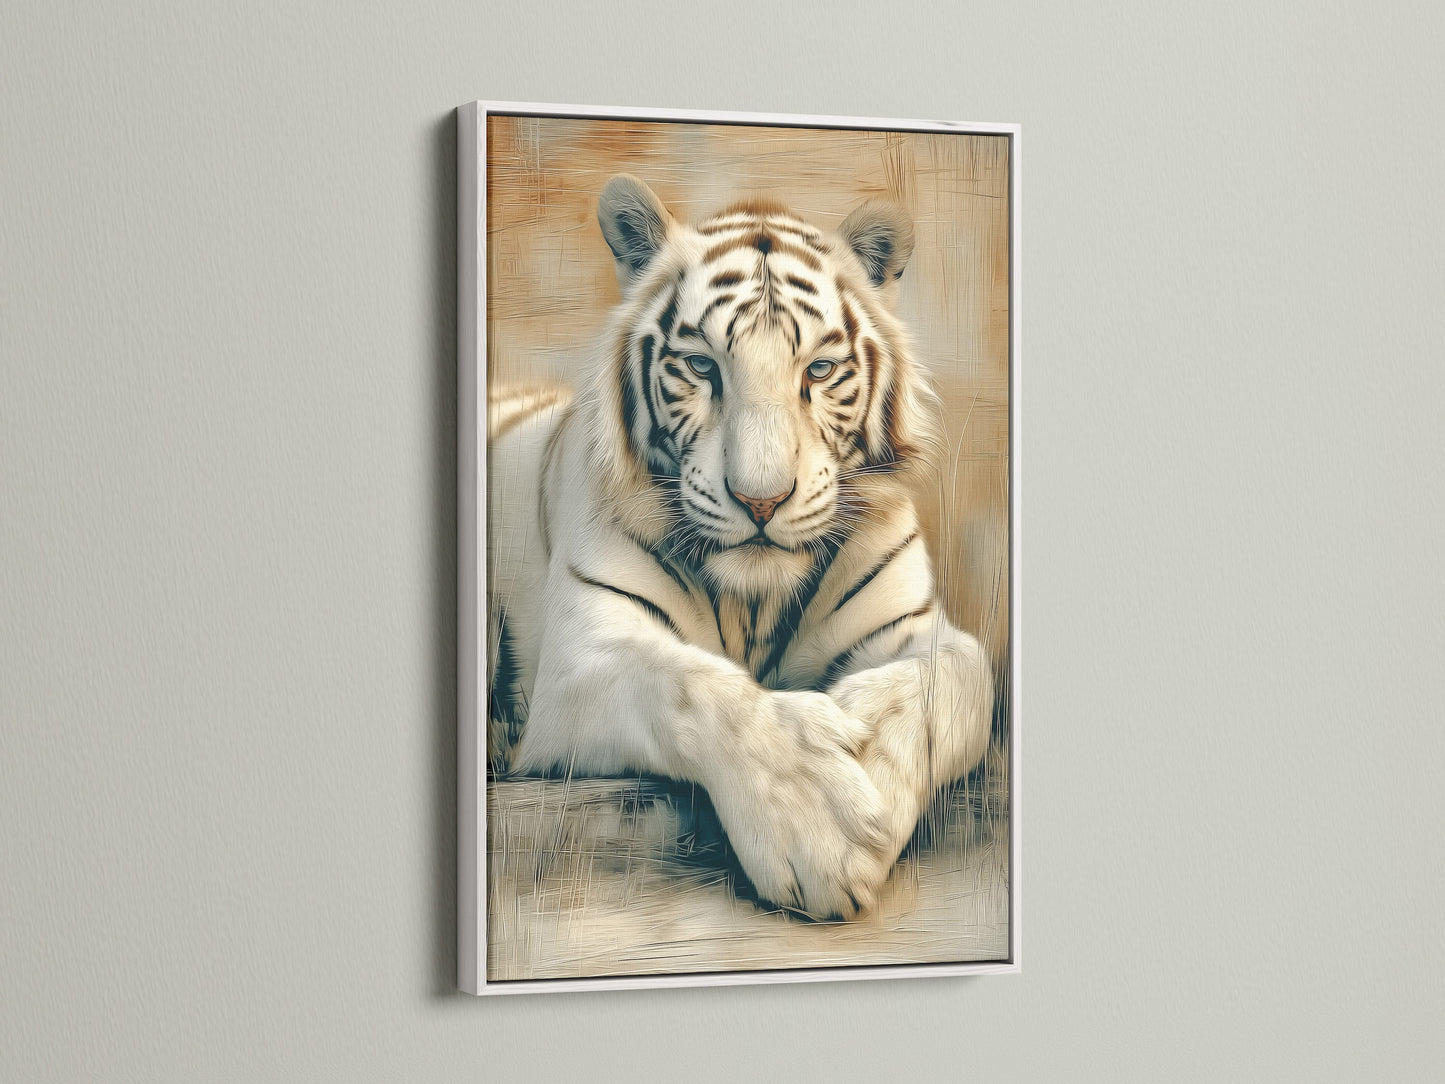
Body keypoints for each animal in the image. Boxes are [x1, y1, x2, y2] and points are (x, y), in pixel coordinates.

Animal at [487, 175, 993, 921]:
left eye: (819, 369)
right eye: (701, 366)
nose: (761, 501)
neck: (753, 600)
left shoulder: (915, 629)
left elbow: (957, 680)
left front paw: (868, 756)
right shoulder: (580, 663)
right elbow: (689, 685)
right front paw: (821, 824)